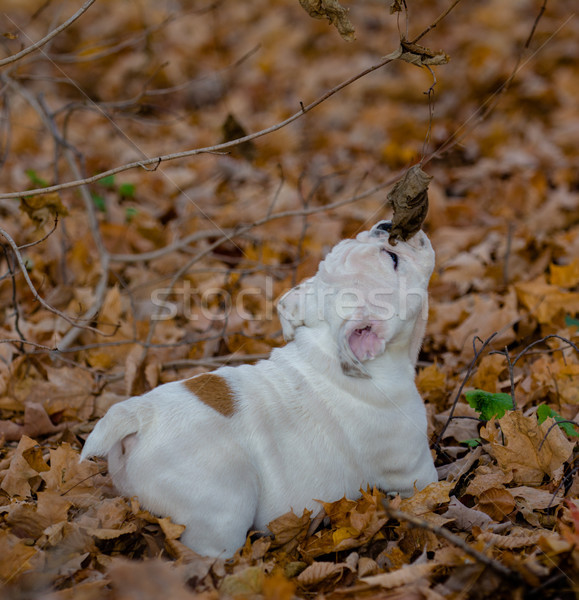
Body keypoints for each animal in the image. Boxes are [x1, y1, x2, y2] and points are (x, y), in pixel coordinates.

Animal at [80, 221, 436, 556]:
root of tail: (139, 416)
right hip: (225, 505)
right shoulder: (415, 471)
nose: (386, 227)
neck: (327, 351)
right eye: (392, 259)